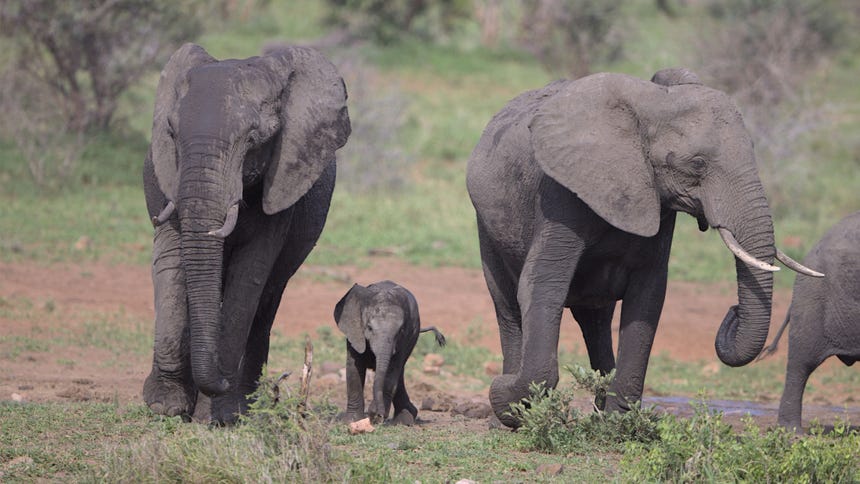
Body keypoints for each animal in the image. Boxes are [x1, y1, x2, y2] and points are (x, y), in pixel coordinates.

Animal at [141, 43, 350, 424]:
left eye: (255, 139)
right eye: (172, 133)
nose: (221, 380)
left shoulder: (281, 186)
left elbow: (249, 277)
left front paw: (216, 416)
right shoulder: (163, 178)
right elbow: (172, 263)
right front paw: (165, 405)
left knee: (267, 298)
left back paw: (246, 401)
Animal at [334, 281, 446, 426]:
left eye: (400, 331)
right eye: (369, 328)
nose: (379, 415)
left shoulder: (405, 338)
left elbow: (392, 370)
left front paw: (375, 415)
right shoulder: (354, 332)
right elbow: (354, 368)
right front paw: (352, 421)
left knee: (399, 371)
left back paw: (404, 420)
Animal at [465, 67, 822, 427]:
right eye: (698, 163)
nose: (733, 311)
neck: (651, 107)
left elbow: (648, 295)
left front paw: (618, 427)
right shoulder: (560, 193)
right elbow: (543, 285)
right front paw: (507, 394)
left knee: (594, 319)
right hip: (487, 226)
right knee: (508, 305)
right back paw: (503, 415)